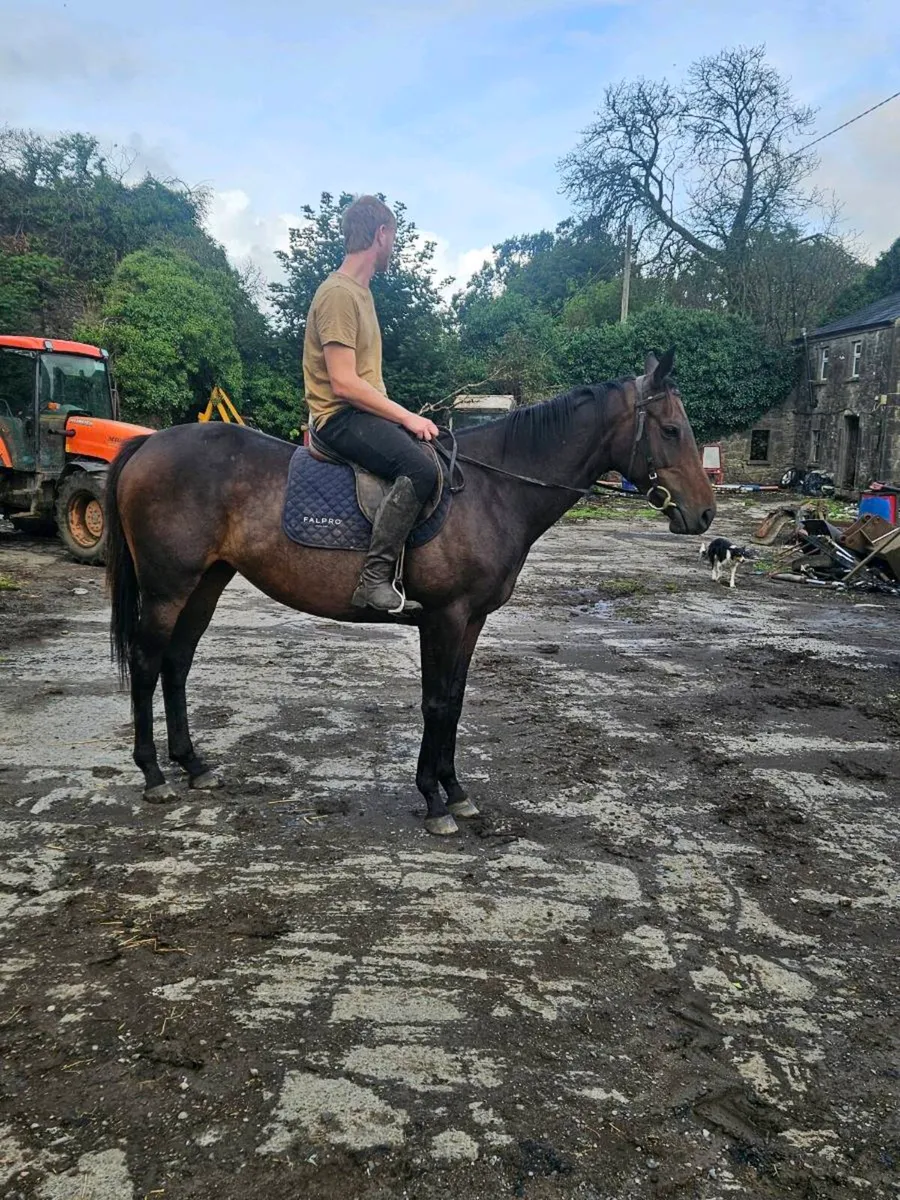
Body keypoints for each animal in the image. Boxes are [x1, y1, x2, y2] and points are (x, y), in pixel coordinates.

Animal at [105, 349, 715, 835]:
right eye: (670, 430)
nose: (705, 514)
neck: (493, 489)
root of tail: (147, 444)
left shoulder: (470, 622)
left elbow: (455, 701)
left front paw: (457, 793)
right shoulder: (444, 617)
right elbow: (436, 702)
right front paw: (435, 801)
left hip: (206, 583)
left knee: (176, 663)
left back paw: (193, 766)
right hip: (167, 588)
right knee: (147, 662)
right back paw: (154, 774)